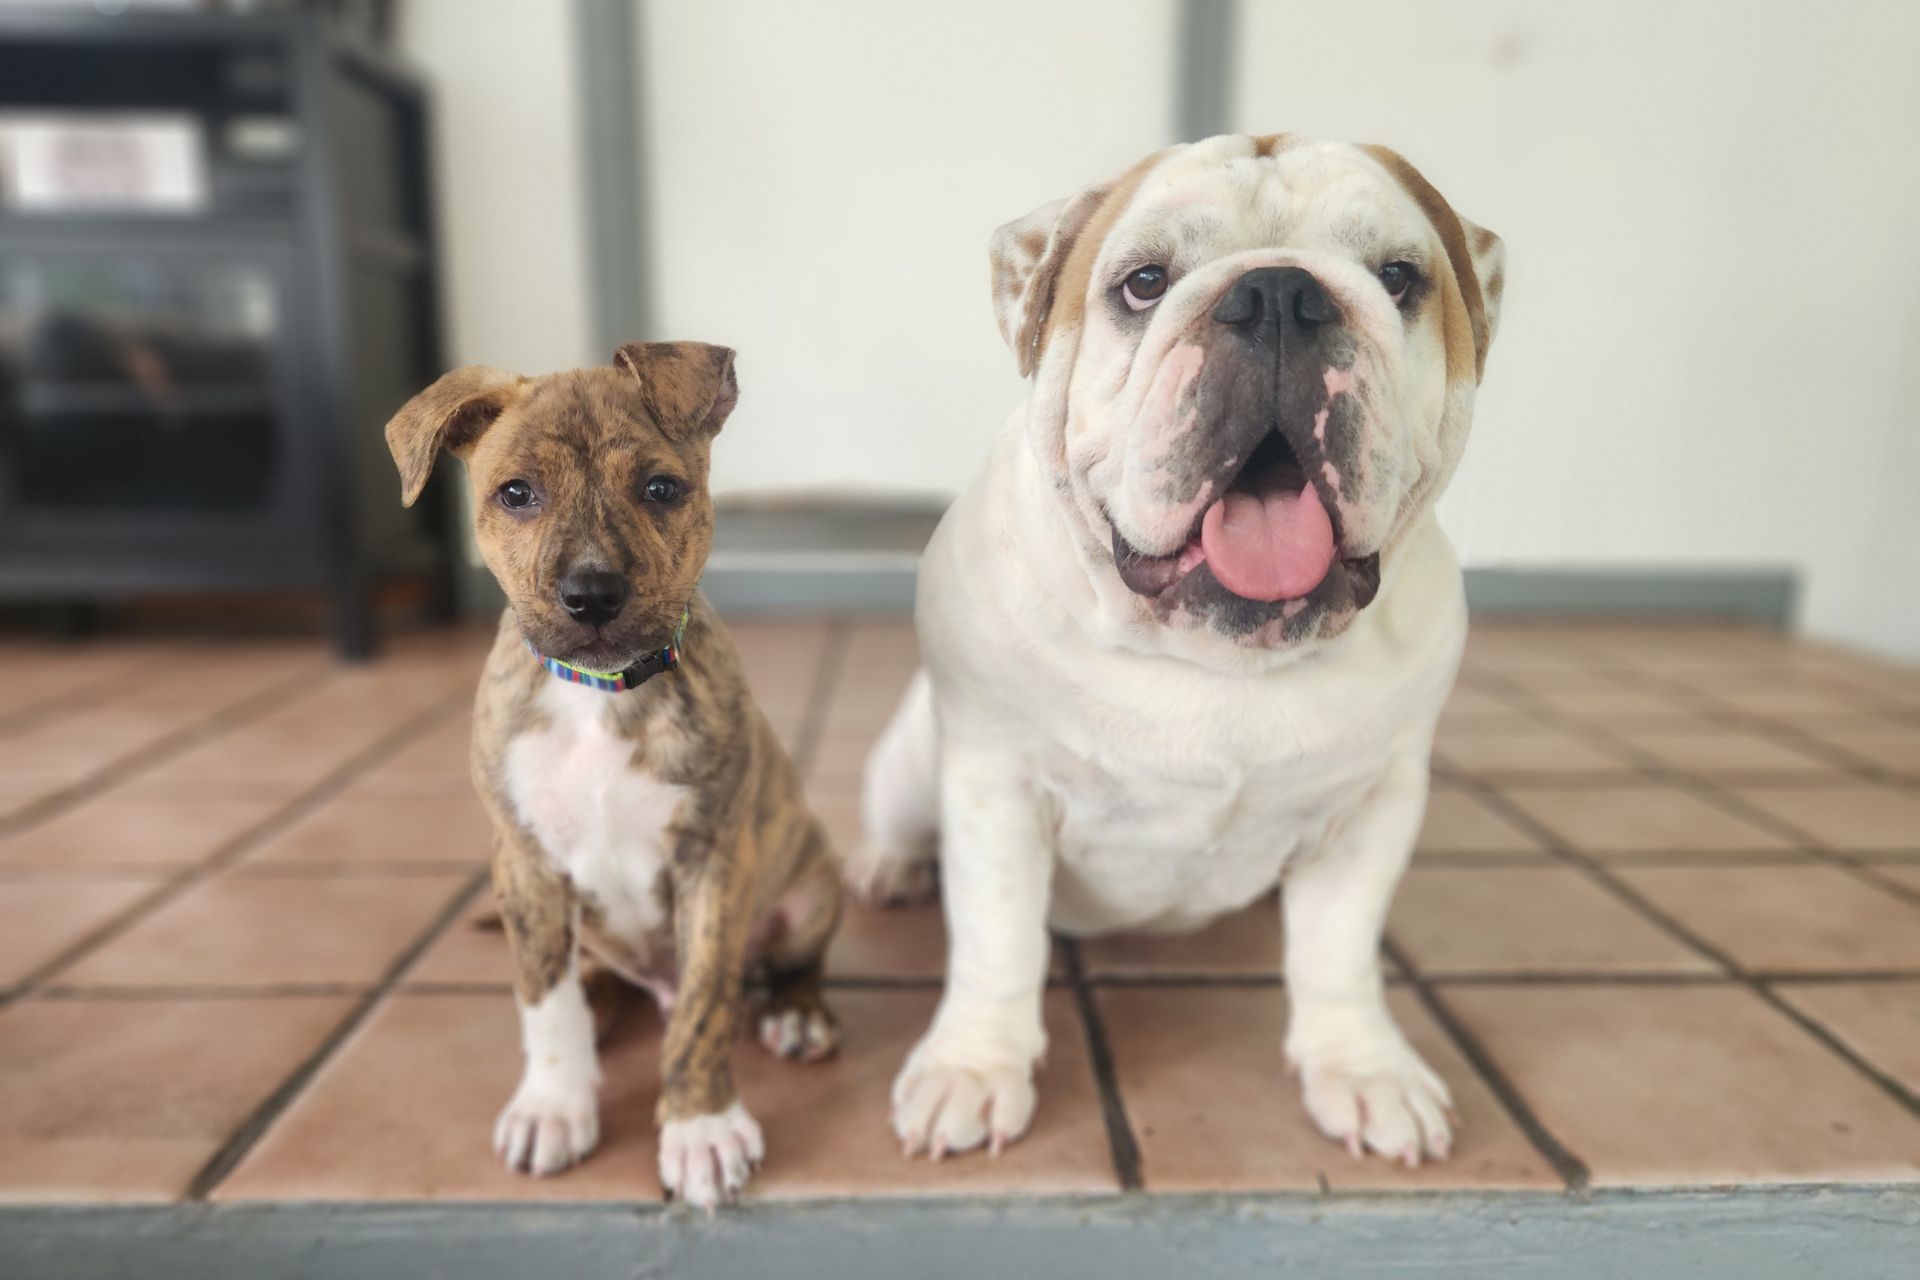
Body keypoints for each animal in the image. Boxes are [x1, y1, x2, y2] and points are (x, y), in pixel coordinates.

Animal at [382, 343, 840, 1212]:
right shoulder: (524, 863)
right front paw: (553, 1106)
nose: (592, 595)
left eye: (661, 488)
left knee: (778, 967)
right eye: (515, 493)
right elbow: (543, 997)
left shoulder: (712, 862)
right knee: (586, 973)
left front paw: (700, 1128)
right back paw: (597, 1004)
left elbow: (704, 1003)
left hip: (807, 891)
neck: (599, 694)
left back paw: (796, 1012)